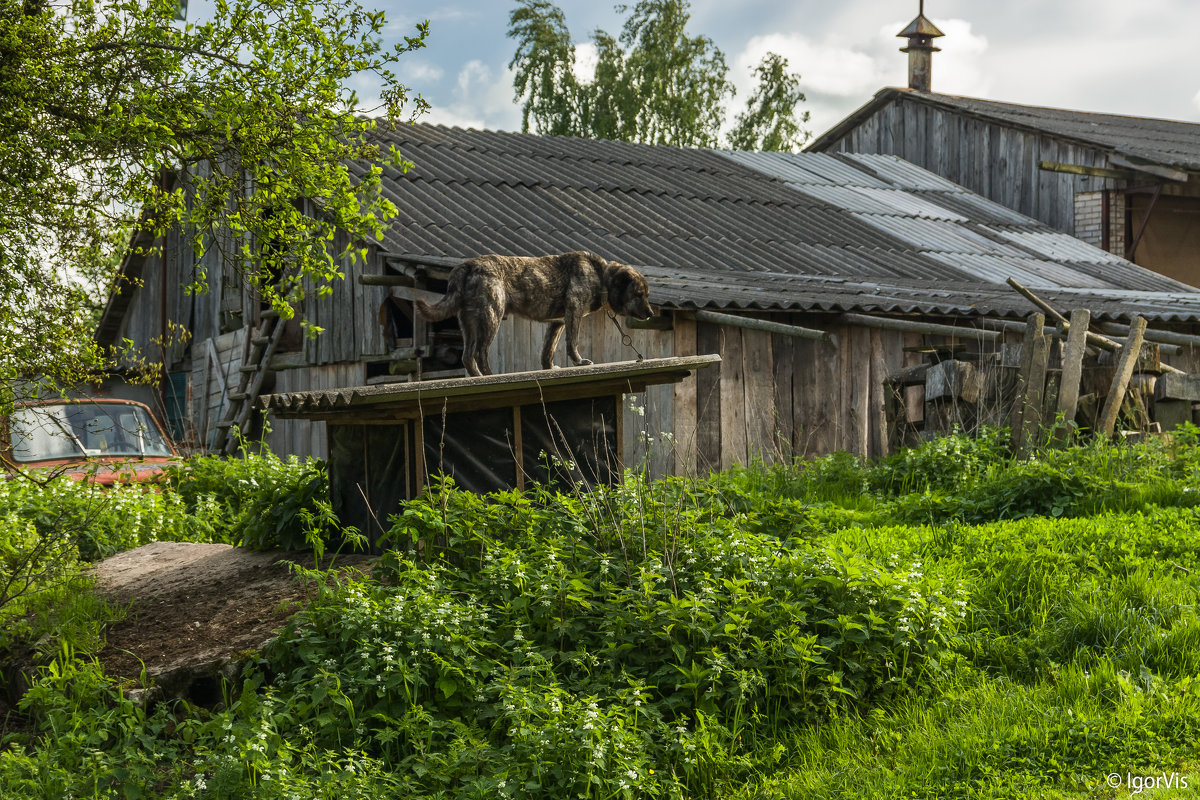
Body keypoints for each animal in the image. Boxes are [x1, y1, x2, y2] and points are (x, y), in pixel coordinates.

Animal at [415, 253, 657, 379]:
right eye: (639, 294)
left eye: (646, 295)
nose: (651, 313)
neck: (601, 276)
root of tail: (466, 266)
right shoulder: (574, 312)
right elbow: (573, 343)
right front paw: (579, 362)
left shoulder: (557, 323)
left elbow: (547, 351)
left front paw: (549, 369)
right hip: (491, 315)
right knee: (480, 352)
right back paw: (490, 375)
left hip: (469, 323)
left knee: (467, 356)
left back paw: (478, 377)